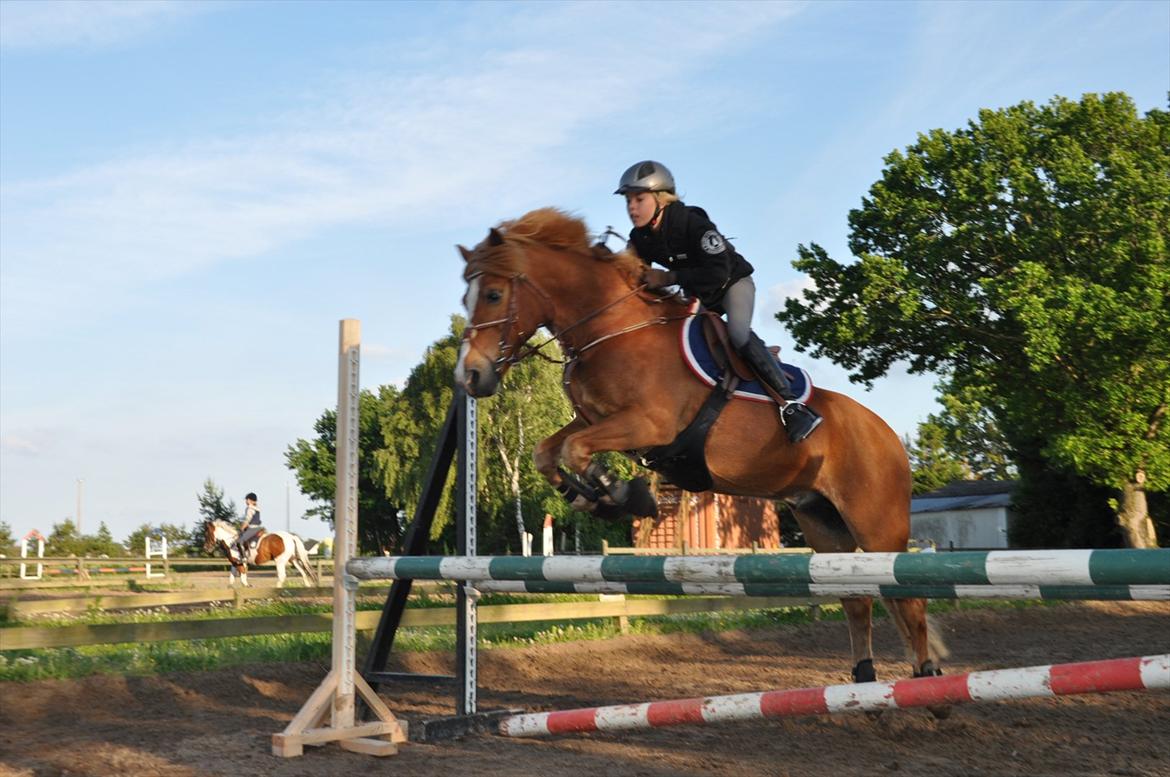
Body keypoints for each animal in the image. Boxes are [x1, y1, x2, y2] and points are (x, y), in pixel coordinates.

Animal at [453, 208, 950, 697]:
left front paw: (621, 494)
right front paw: (594, 498)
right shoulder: (595, 420)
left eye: (493, 294)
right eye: (466, 298)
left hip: (876, 523)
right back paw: (866, 683)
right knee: (858, 597)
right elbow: (547, 452)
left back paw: (928, 683)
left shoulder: (648, 424)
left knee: (909, 599)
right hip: (822, 521)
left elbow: (575, 451)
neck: (612, 330)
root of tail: (888, 435)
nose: (470, 377)